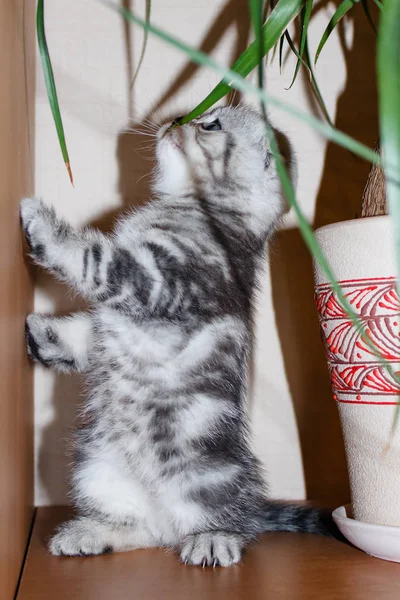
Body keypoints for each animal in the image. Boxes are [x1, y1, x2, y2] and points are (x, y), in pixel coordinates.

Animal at [21, 104, 334, 568]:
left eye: (211, 124)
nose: (175, 121)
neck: (203, 210)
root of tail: (166, 516)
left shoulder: (156, 280)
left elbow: (92, 257)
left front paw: (41, 223)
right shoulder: (114, 317)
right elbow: (89, 334)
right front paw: (44, 333)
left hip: (207, 473)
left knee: (238, 521)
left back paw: (214, 538)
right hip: (96, 466)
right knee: (144, 531)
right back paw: (95, 532)